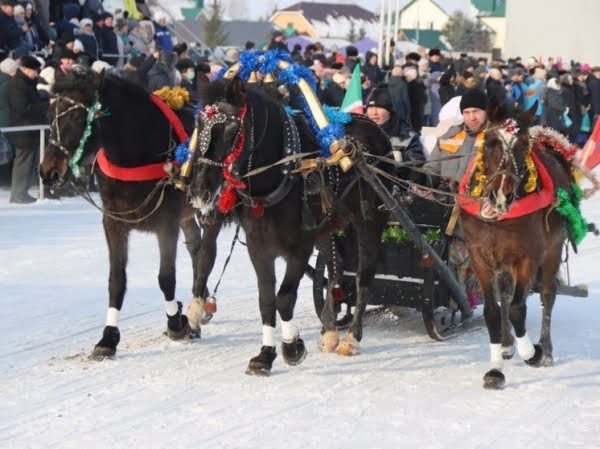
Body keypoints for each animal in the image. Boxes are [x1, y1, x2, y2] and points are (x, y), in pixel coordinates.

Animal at [40, 67, 223, 360]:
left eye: (79, 118)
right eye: (49, 115)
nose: (49, 172)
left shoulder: (166, 222)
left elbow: (165, 278)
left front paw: (176, 322)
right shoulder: (114, 222)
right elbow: (117, 279)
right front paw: (108, 338)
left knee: (204, 249)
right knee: (196, 247)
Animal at [189, 77, 394, 374]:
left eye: (231, 128)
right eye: (197, 125)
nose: (199, 190)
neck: (281, 176)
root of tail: (374, 127)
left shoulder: (299, 247)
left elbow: (285, 297)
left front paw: (291, 346)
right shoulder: (258, 248)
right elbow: (266, 300)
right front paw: (265, 354)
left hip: (370, 221)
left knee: (363, 276)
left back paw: (352, 339)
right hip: (327, 226)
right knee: (335, 271)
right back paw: (329, 330)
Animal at [460, 101, 580, 388]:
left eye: (523, 146)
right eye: (490, 142)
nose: (501, 195)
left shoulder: (528, 255)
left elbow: (517, 308)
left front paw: (533, 353)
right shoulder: (479, 255)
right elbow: (493, 311)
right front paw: (495, 369)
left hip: (552, 248)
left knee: (547, 294)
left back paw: (546, 351)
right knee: (506, 292)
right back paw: (506, 344)